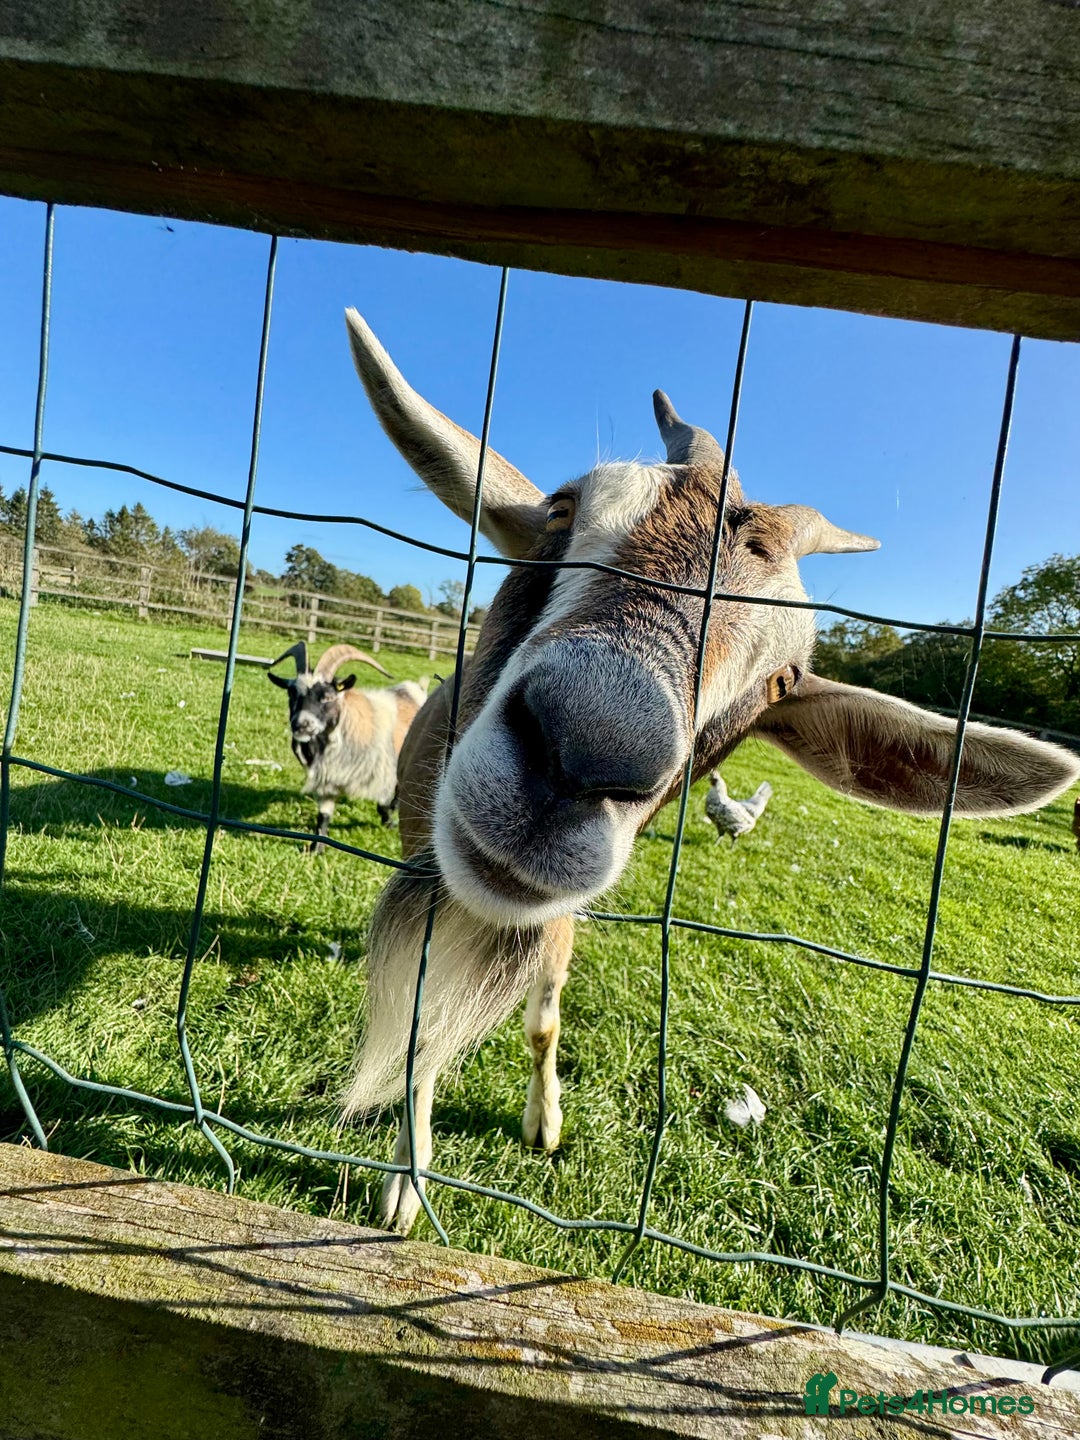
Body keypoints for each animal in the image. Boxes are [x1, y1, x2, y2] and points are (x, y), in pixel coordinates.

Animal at [268, 641, 428, 849]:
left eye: (328, 696)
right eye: (291, 693)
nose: (301, 725)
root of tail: (414, 688)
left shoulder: (383, 773)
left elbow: (383, 805)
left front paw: (389, 822)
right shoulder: (329, 778)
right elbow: (324, 814)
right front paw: (316, 848)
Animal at [338, 307, 1080, 1234]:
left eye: (782, 680)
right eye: (561, 508)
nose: (583, 751)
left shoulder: (551, 916)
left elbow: (541, 1019)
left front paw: (544, 1121)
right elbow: (423, 1028)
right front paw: (406, 1182)